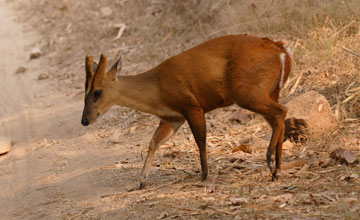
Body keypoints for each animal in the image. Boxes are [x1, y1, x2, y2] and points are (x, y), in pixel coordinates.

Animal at [81, 34, 292, 189]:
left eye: (97, 92)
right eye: (84, 92)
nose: (84, 120)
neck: (157, 89)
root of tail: (281, 50)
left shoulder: (192, 106)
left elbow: (200, 140)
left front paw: (204, 175)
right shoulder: (172, 119)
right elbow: (153, 142)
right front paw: (141, 181)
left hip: (247, 92)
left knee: (281, 111)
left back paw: (270, 160)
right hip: (270, 91)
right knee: (279, 119)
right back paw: (277, 169)